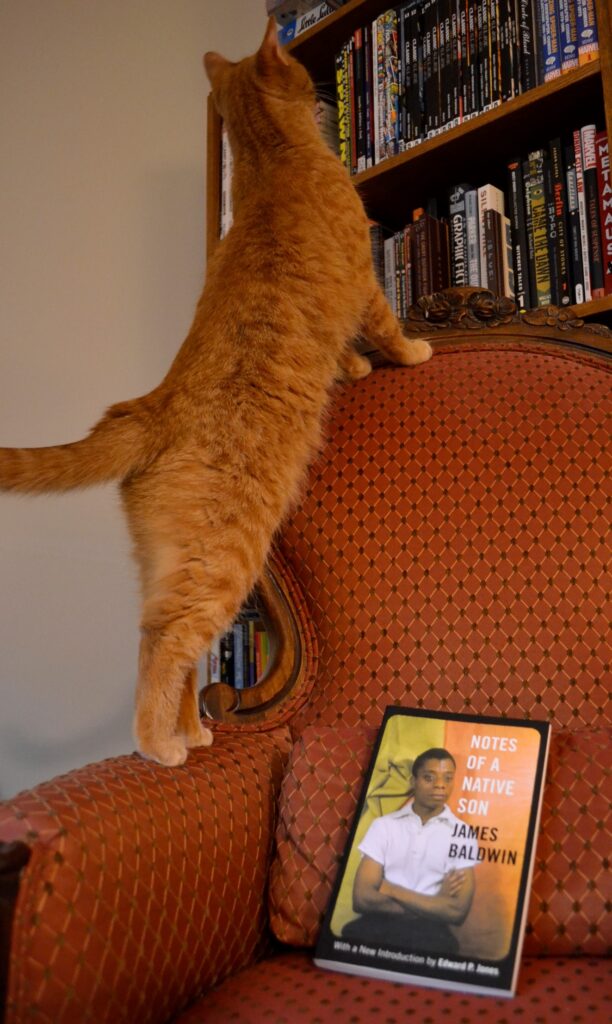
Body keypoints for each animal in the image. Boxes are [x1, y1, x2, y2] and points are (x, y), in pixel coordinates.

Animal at [0, 18, 433, 770]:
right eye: (298, 63)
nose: (321, 87)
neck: (269, 160)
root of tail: (146, 406)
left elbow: (346, 351)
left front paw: (353, 370)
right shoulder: (364, 278)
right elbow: (386, 327)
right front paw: (408, 354)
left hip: (171, 564)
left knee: (172, 647)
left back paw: (194, 732)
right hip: (221, 565)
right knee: (163, 643)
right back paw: (159, 746)